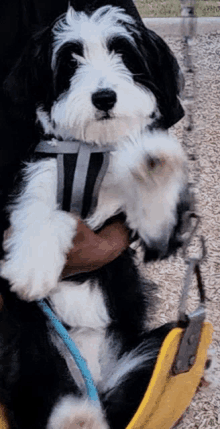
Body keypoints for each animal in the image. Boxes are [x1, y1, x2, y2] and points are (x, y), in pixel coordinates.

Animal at [0, 4, 192, 428]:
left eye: (123, 52)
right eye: (71, 60)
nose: (104, 97)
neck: (93, 152)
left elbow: (158, 222)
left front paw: (153, 165)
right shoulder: (42, 172)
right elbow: (39, 210)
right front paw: (32, 267)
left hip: (148, 350)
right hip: (27, 351)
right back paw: (74, 413)